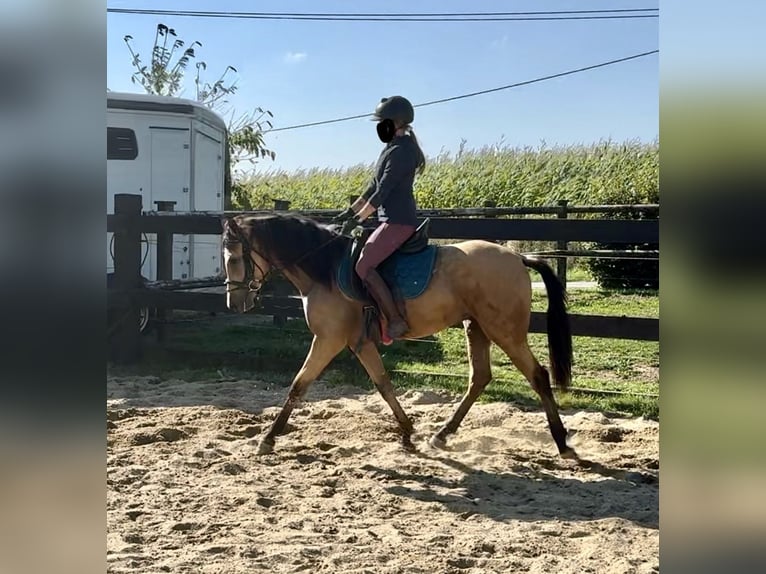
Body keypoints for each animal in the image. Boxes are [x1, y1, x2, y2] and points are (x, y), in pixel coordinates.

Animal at [220, 214, 576, 462]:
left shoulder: (328, 339)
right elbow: (384, 384)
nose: (234, 304)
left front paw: (268, 439)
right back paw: (442, 435)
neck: (325, 269)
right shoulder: (360, 342)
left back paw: (563, 444)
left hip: (505, 331)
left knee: (537, 376)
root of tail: (518, 258)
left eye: (234, 259)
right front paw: (407, 433)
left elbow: (298, 386)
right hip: (477, 327)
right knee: (480, 378)